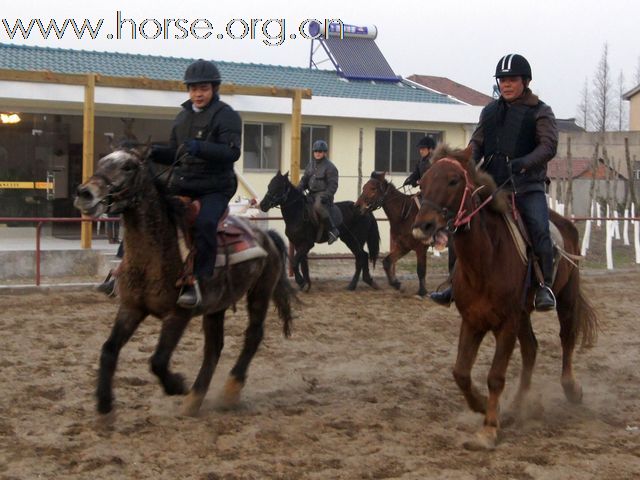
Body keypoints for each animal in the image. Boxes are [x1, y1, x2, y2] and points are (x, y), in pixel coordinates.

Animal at [74, 146, 296, 416]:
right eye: (101, 162)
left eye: (128, 167)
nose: (85, 194)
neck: (155, 254)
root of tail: (267, 236)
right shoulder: (131, 308)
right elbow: (108, 349)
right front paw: (104, 402)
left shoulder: (177, 315)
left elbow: (158, 361)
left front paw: (177, 385)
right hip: (217, 307)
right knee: (214, 348)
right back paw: (195, 399)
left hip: (260, 292)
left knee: (253, 336)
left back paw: (229, 391)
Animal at [412, 145, 596, 450]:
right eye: (423, 182)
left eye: (453, 181)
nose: (423, 226)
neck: (486, 259)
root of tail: (564, 224)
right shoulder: (472, 321)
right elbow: (461, 372)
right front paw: (483, 406)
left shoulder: (507, 323)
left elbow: (496, 376)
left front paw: (488, 430)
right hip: (523, 314)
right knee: (531, 349)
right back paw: (517, 406)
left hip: (565, 297)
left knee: (566, 338)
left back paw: (572, 389)